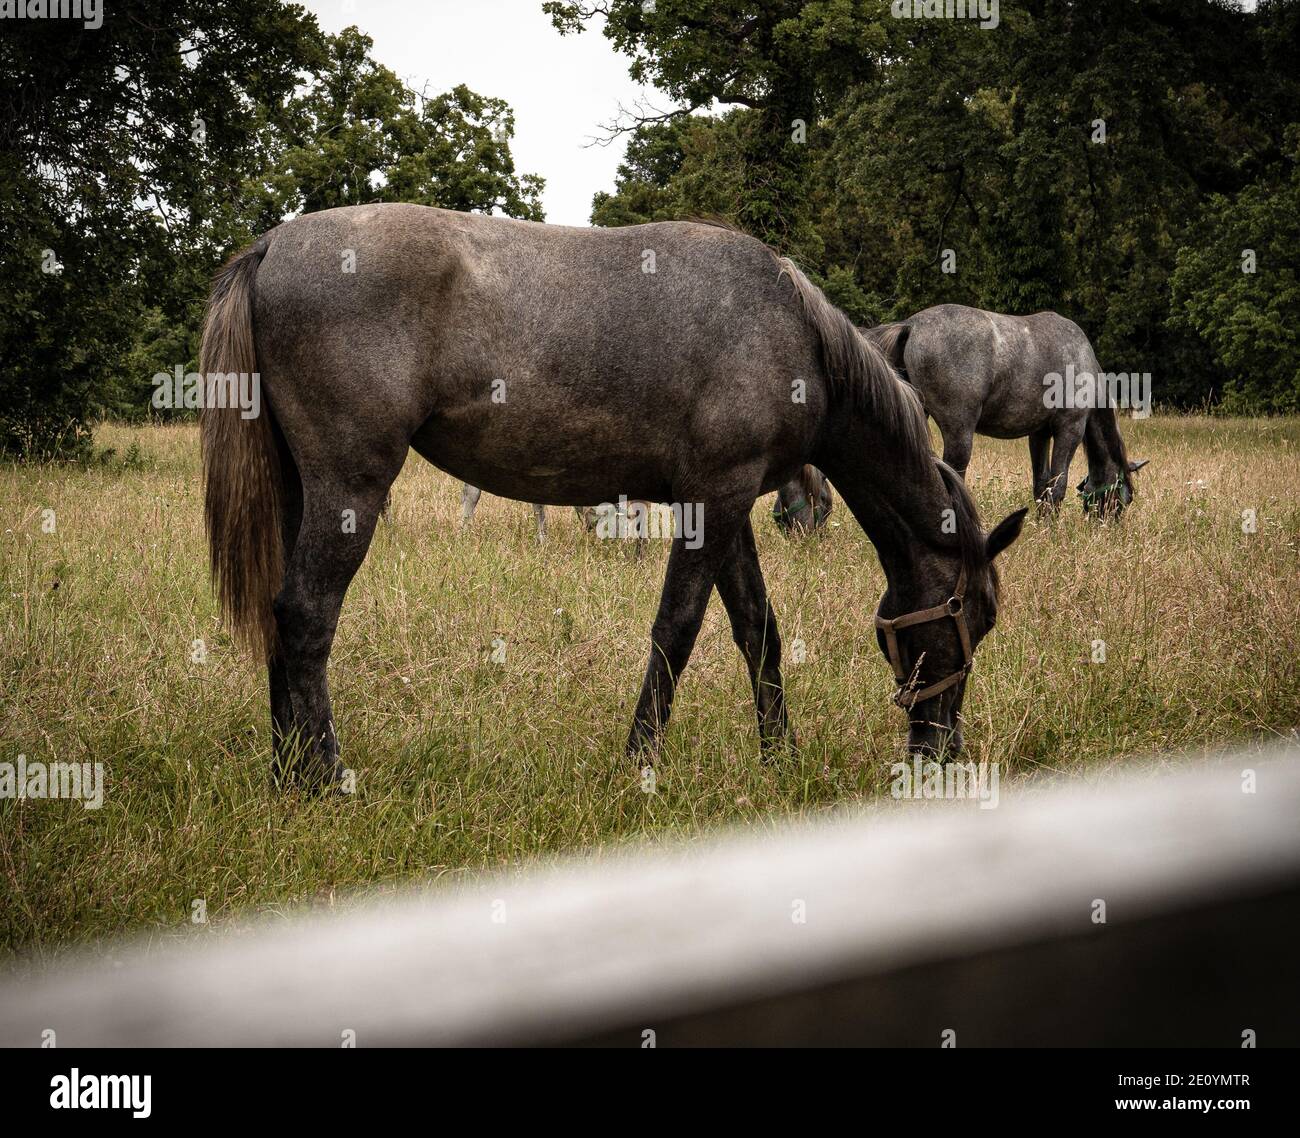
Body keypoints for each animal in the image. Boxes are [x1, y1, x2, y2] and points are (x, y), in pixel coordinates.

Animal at [200, 204, 1024, 785]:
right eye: (974, 616)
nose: (939, 750)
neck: (793, 332)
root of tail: (273, 246)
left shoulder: (723, 505)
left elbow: (757, 629)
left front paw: (779, 756)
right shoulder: (715, 499)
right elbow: (676, 630)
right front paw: (640, 763)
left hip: (303, 493)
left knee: (280, 615)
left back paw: (285, 774)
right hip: (350, 487)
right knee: (306, 615)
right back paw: (324, 778)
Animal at [868, 304, 1144, 515]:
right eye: (1125, 498)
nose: (1107, 525)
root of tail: (911, 325)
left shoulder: (1039, 434)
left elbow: (1040, 485)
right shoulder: (1070, 430)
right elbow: (1057, 486)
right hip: (959, 432)